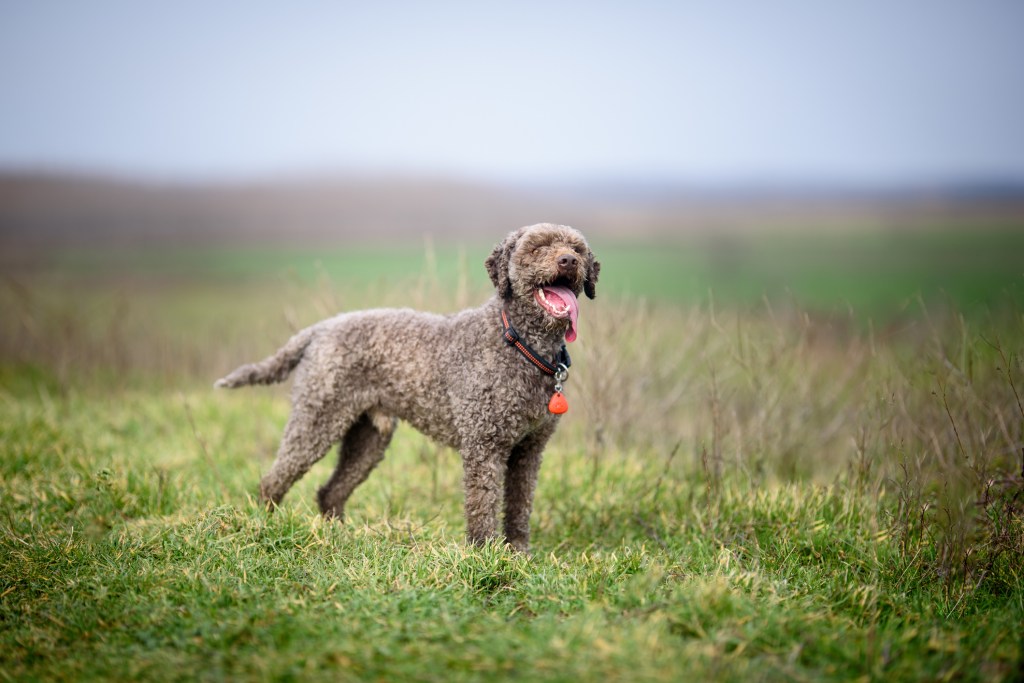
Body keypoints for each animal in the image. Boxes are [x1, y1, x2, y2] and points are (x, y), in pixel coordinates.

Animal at [216, 223, 598, 548]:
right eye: (537, 247)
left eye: (578, 248)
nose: (568, 260)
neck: (518, 343)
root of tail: (319, 329)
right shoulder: (484, 446)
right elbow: (483, 504)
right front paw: (485, 554)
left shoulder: (529, 450)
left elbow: (519, 506)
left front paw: (518, 554)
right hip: (317, 418)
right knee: (274, 479)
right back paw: (265, 524)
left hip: (368, 437)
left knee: (331, 491)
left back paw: (339, 535)